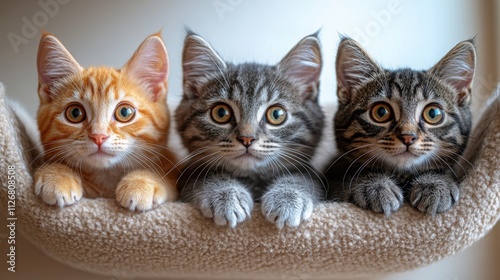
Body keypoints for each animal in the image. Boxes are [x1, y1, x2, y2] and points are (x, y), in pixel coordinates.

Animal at [176, 32, 324, 230]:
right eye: (221, 113)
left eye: (276, 114)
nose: (247, 138)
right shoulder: (188, 174)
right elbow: (207, 175)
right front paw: (225, 196)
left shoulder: (311, 173)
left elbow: (301, 177)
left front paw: (289, 199)